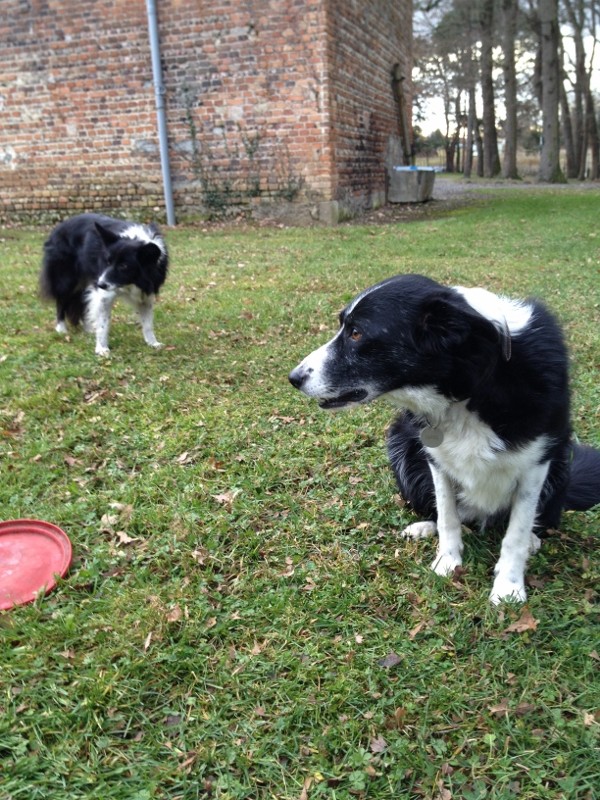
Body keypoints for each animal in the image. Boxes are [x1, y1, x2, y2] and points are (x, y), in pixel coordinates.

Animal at [41, 216, 169, 360]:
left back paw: (88, 328)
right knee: (61, 301)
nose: (100, 284)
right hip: (66, 279)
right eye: (107, 262)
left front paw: (153, 343)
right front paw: (101, 348)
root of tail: (58, 227)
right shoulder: (104, 294)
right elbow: (103, 324)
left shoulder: (146, 294)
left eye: (123, 266)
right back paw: (61, 328)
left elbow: (147, 323)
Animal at [288, 272, 596, 604]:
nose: (294, 378)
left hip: (561, 464)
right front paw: (447, 563)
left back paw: (532, 541)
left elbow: (517, 530)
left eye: (356, 333)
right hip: (401, 447)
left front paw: (508, 587)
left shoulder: (536, 464)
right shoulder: (437, 459)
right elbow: (447, 515)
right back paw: (424, 527)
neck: (471, 386)